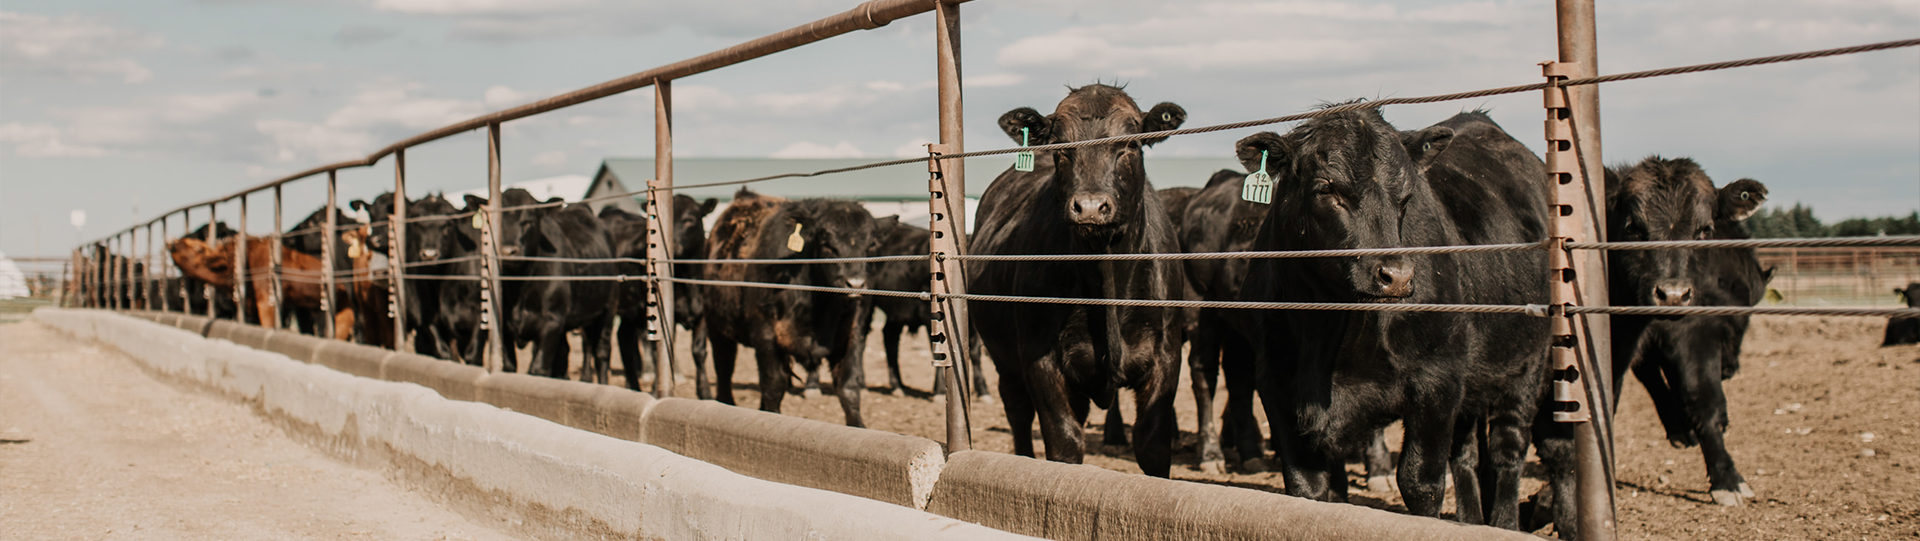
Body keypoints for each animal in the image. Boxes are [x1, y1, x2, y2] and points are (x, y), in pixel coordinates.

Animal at [503, 201, 614, 379]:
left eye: (529, 221)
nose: (508, 251)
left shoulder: (551, 323)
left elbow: (539, 368)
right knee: (565, 353)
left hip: (607, 311)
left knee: (601, 352)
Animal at [702, 189, 887, 427]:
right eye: (826, 242)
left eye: (871, 245)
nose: (855, 283)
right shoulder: (765, 336)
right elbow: (773, 386)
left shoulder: (851, 336)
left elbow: (849, 389)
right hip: (717, 326)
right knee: (724, 367)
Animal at [975, 82, 1182, 475]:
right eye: (1060, 146)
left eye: (1130, 144)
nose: (1089, 207)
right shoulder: (1041, 360)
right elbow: (1064, 442)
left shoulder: (1166, 357)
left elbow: (1153, 443)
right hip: (1004, 358)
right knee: (1017, 412)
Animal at [1228, 106, 1559, 529]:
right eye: (1328, 188)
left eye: (1406, 195)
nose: (1396, 275)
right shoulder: (1276, 380)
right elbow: (1307, 486)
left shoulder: (1438, 380)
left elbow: (1421, 482)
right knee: (1466, 455)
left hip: (1527, 367)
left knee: (1507, 452)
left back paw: (1503, 524)